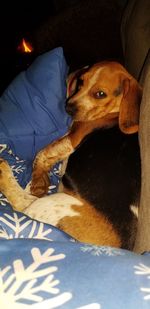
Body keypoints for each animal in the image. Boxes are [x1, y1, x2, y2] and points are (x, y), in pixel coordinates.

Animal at [0, 61, 142, 249]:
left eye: (100, 94)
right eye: (80, 82)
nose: (68, 107)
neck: (115, 112)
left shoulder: (72, 138)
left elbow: (42, 154)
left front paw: (38, 182)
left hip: (52, 206)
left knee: (22, 204)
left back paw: (3, 171)